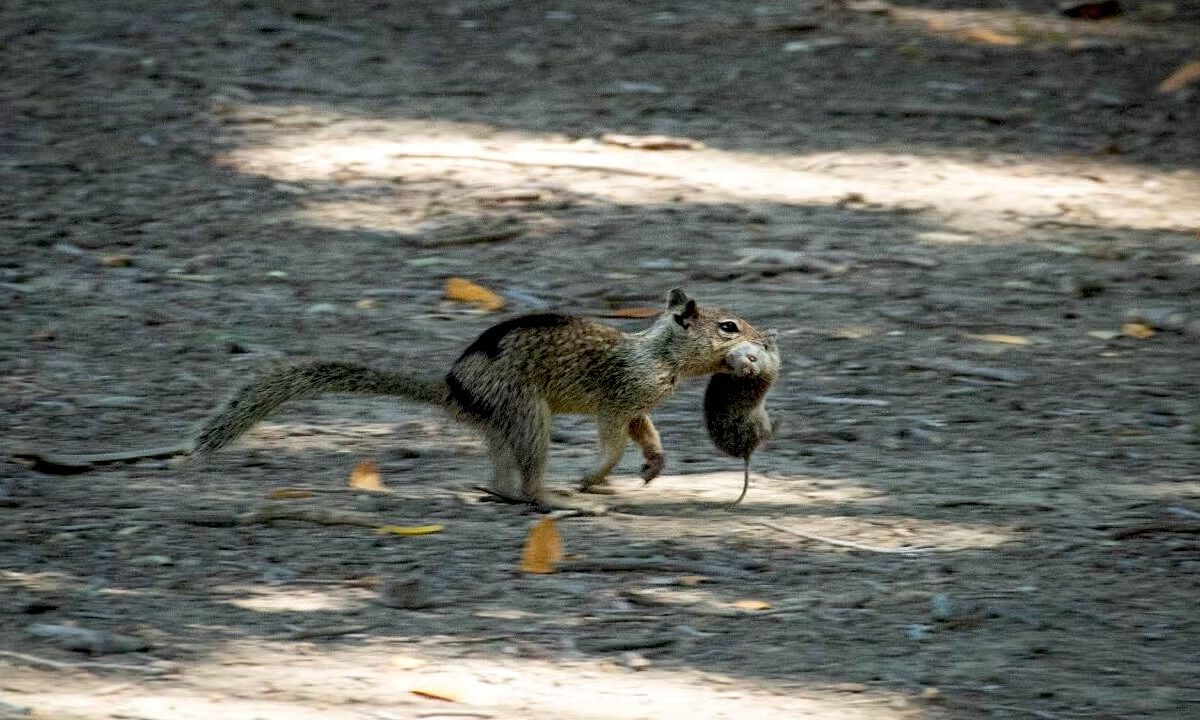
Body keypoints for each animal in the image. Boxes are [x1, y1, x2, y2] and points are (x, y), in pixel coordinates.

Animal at [190, 286, 763, 511]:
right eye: (729, 326)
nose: (764, 340)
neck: (659, 354)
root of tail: (452, 389)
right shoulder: (617, 399)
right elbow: (613, 442)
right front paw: (595, 474)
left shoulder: (638, 406)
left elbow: (648, 434)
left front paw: (653, 465)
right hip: (527, 413)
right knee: (529, 480)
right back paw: (556, 497)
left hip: (503, 424)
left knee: (502, 476)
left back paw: (500, 491)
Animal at [700, 328, 782, 504]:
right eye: (752, 358)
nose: (750, 370)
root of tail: (746, 453)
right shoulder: (770, 362)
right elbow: (773, 353)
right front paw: (770, 336)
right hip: (761, 423)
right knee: (768, 434)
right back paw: (778, 415)